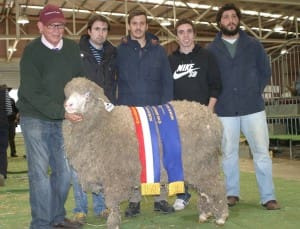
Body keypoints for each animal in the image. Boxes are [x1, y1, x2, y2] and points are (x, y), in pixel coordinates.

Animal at [62, 77, 229, 229]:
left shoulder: (114, 175)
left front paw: (113, 223)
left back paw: (221, 217)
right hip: (200, 165)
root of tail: (213, 119)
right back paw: (205, 214)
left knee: (216, 186)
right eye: (67, 94)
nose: (68, 105)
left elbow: (113, 202)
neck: (103, 123)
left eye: (87, 95)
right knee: (205, 190)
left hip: (204, 163)